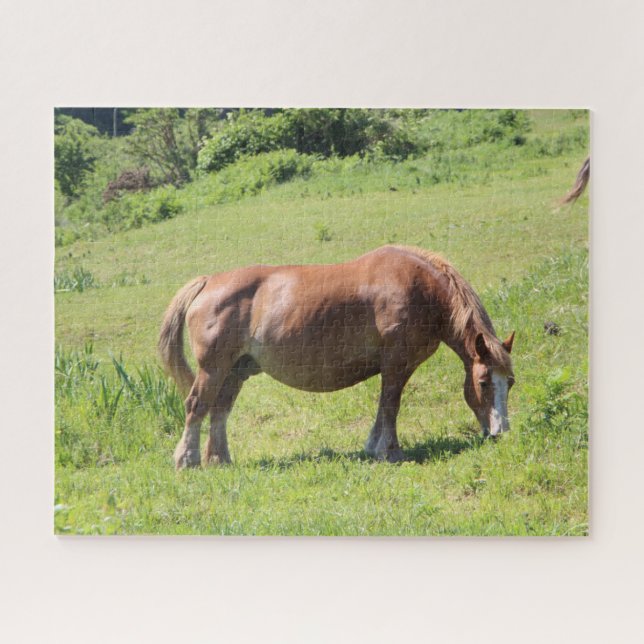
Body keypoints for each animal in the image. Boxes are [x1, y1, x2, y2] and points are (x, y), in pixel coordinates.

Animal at [159, 245, 515, 469]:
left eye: (509, 383)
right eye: (484, 382)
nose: (501, 433)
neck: (420, 290)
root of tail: (207, 282)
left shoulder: (392, 368)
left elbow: (382, 408)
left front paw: (373, 447)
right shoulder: (396, 364)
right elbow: (391, 406)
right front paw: (391, 452)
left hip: (235, 371)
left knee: (219, 411)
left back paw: (220, 459)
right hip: (213, 369)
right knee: (196, 406)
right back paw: (187, 460)